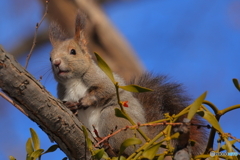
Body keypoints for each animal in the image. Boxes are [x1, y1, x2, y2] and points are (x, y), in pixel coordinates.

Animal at [48, 12, 206, 158]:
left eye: (73, 52)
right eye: (50, 58)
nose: (56, 63)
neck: (72, 81)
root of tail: (146, 142)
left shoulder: (100, 78)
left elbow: (104, 90)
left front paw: (85, 101)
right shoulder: (62, 91)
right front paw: (72, 107)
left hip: (114, 118)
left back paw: (110, 148)